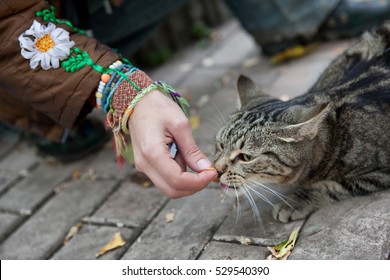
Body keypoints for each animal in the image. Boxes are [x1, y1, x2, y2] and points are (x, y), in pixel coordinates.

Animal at [213, 21, 390, 223]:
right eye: (220, 145)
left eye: (246, 157)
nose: (216, 169)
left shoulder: (380, 172)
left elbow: (331, 185)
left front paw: (296, 201)